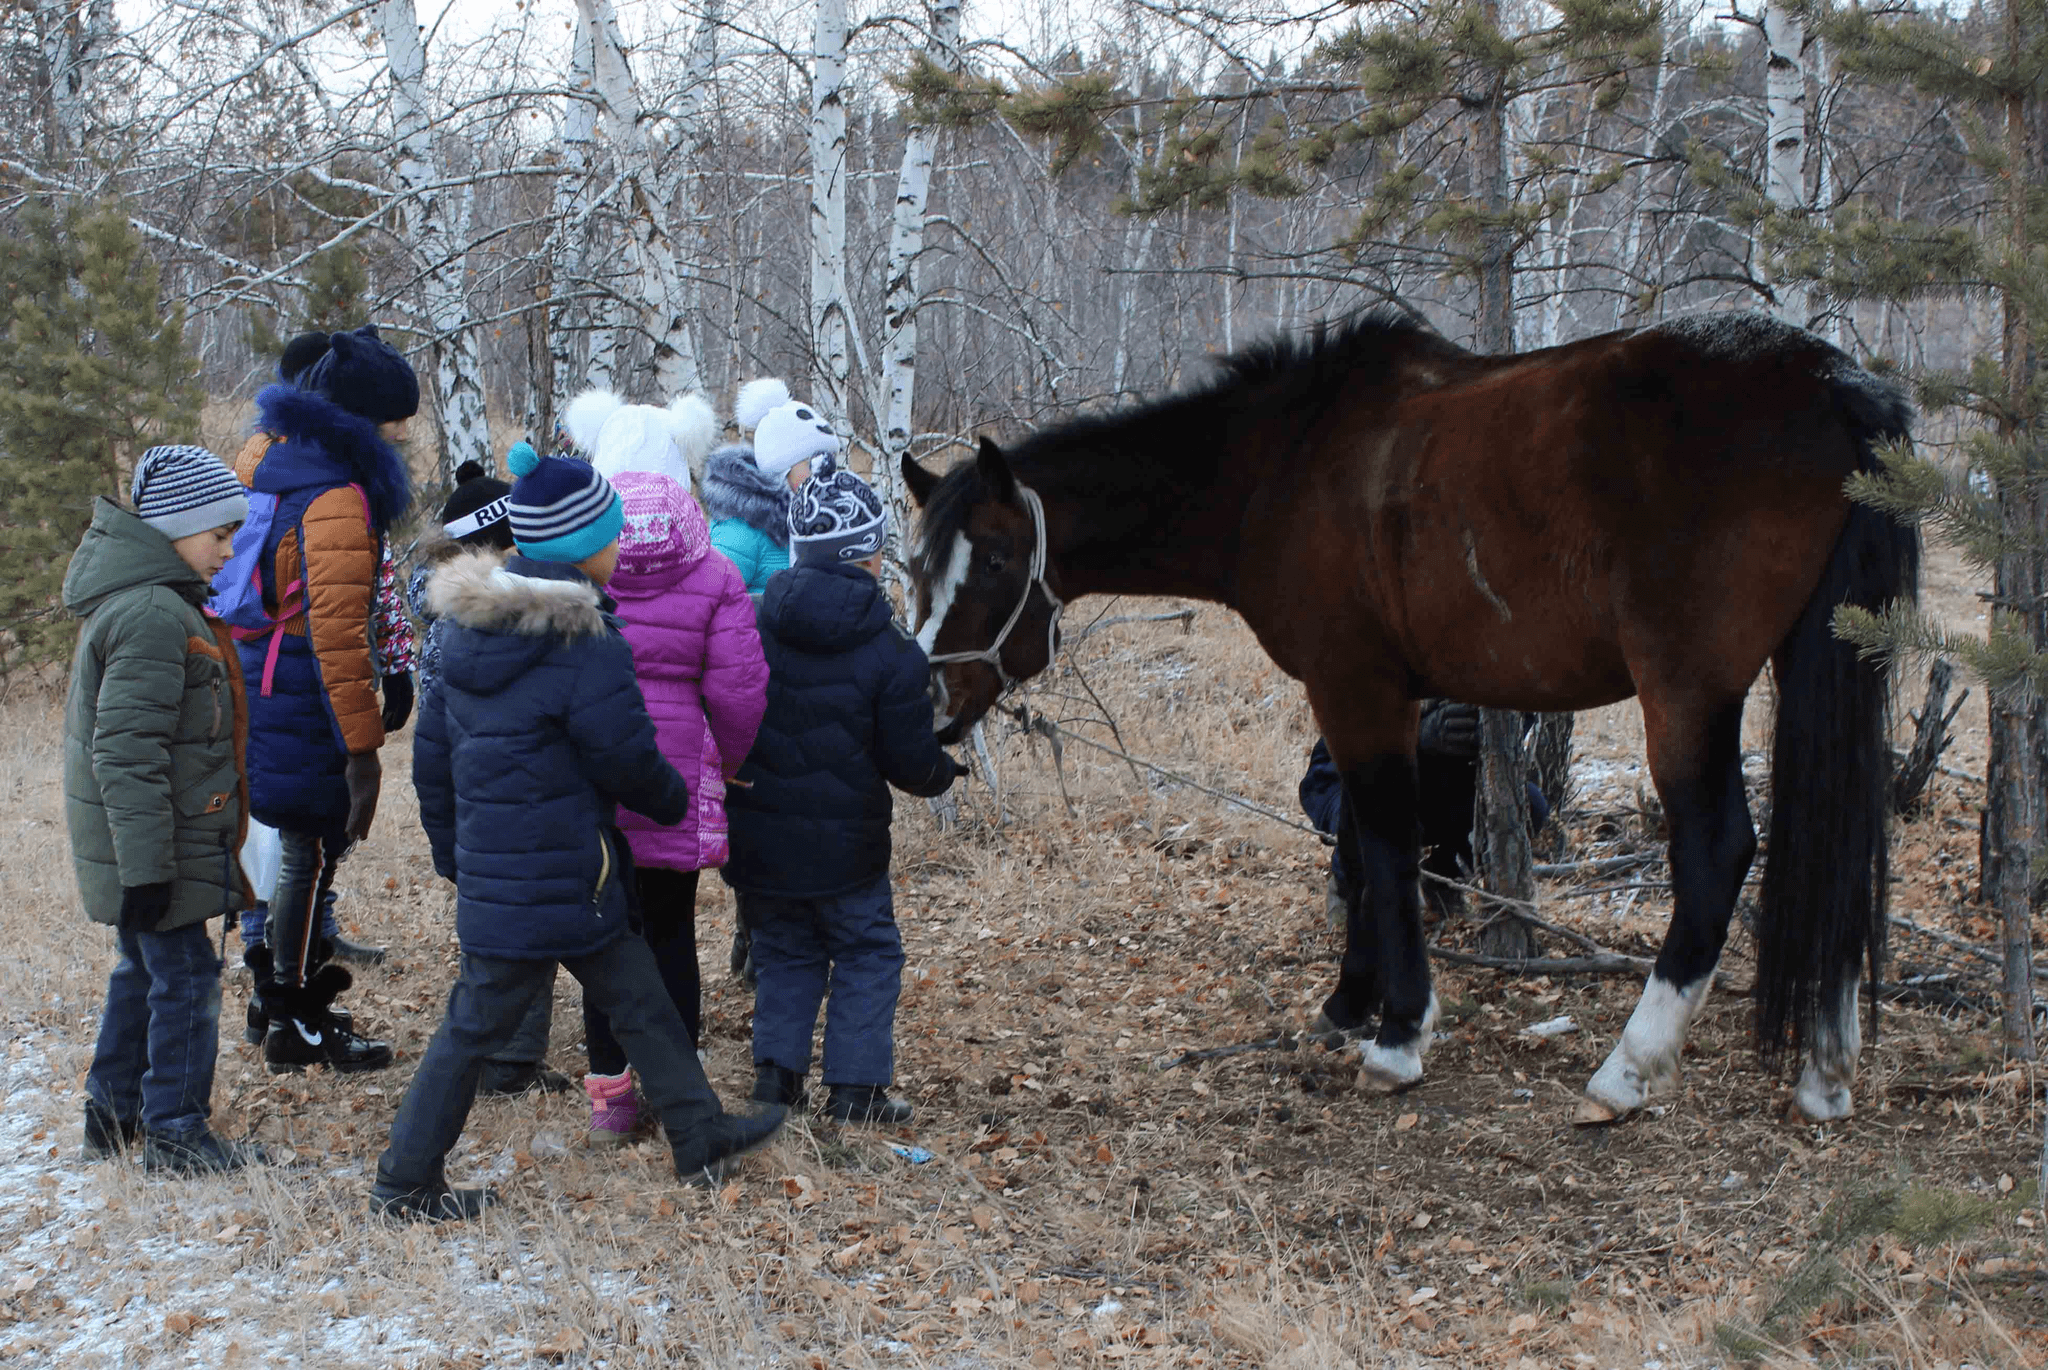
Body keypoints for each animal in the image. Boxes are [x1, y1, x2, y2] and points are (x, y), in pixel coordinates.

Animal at [901, 313, 1916, 1122]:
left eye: (996, 561)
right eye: (917, 565)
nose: (929, 702)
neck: (1284, 467)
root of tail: (1840, 389)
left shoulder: (1353, 686)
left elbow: (1386, 846)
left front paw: (1397, 1035)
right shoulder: (1387, 692)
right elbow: (1360, 844)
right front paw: (1349, 1006)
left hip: (1686, 693)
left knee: (1718, 852)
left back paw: (1628, 1069)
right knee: (1841, 833)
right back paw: (1827, 1068)